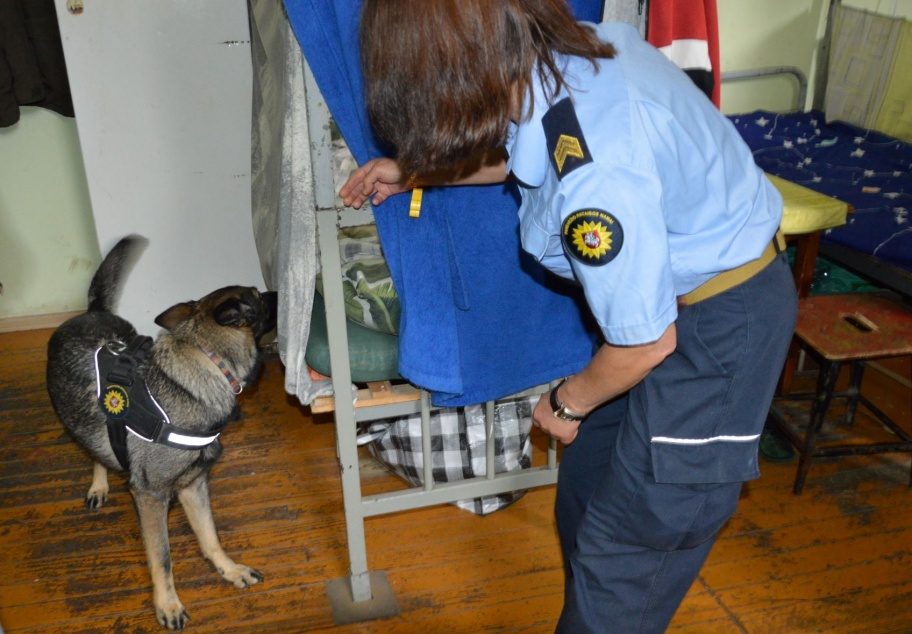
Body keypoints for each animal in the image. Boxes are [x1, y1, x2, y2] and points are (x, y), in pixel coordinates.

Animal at [46, 236, 278, 628]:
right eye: (259, 296)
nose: (278, 290)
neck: (206, 365)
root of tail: (89, 311)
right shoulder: (151, 498)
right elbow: (163, 558)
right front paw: (168, 604)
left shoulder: (193, 485)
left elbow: (210, 536)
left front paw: (229, 570)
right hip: (76, 420)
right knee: (93, 449)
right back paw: (99, 483)